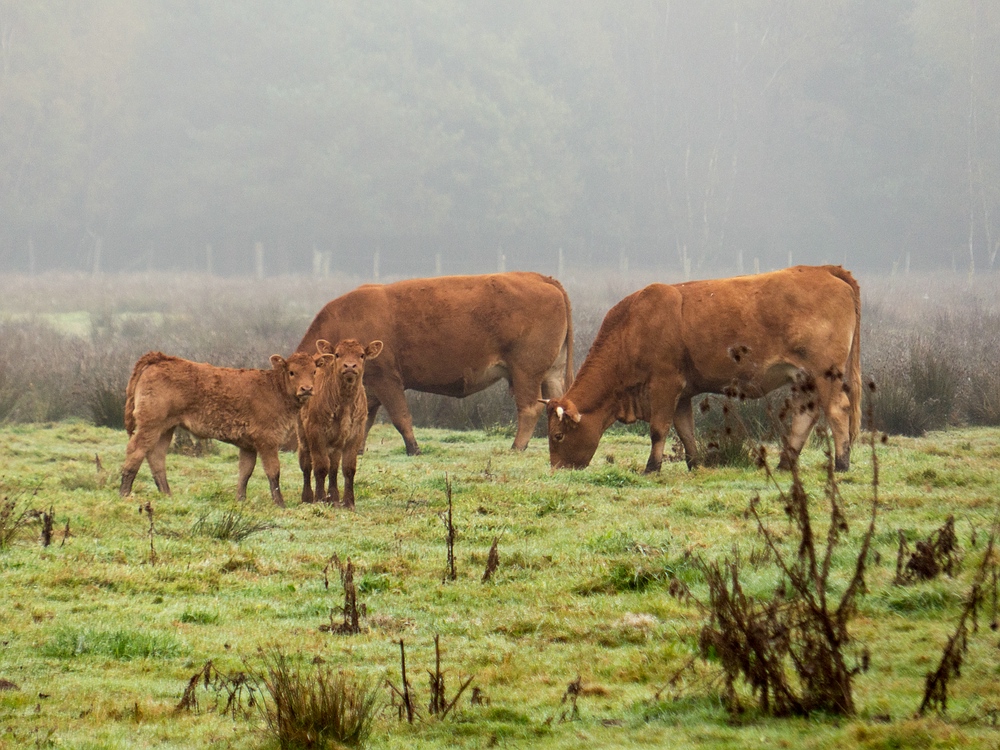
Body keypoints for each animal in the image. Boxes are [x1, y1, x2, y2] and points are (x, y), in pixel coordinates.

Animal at [119, 352, 324, 506]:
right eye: (292, 372)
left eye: (314, 371)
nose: (306, 388)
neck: (275, 389)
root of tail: (160, 358)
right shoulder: (268, 441)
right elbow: (273, 471)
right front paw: (280, 503)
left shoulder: (248, 445)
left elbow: (245, 472)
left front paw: (240, 500)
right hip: (150, 425)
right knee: (136, 450)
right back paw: (124, 493)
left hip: (166, 428)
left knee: (156, 457)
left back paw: (167, 494)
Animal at [296, 274, 576, 456]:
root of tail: (540, 278)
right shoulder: (369, 387)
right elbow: (364, 419)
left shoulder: (387, 380)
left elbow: (401, 417)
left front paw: (413, 449)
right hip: (551, 373)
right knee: (557, 405)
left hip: (525, 373)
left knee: (529, 408)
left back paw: (517, 447)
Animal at [296, 340, 382, 512]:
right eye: (337, 354)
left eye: (361, 355)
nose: (349, 366)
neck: (345, 403)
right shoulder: (316, 432)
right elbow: (320, 467)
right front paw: (320, 500)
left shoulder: (356, 433)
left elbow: (348, 468)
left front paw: (348, 502)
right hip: (302, 435)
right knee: (306, 464)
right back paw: (308, 498)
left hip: (335, 442)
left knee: (334, 467)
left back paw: (334, 499)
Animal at [544, 268, 864, 472]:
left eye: (557, 436)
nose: (557, 470)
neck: (633, 326)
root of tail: (823, 270)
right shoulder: (682, 393)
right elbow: (685, 431)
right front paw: (694, 464)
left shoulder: (664, 384)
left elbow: (658, 429)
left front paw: (651, 467)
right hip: (803, 379)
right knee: (805, 416)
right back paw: (786, 463)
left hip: (825, 374)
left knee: (838, 410)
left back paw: (842, 463)